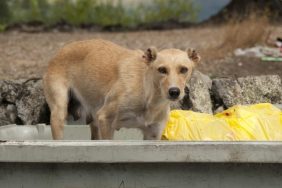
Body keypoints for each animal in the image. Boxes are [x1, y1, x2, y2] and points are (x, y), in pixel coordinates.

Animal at [43, 39, 199, 140]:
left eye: (184, 69)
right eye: (162, 70)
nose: (174, 92)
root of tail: (59, 52)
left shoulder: (153, 134)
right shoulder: (105, 120)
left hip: (94, 123)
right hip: (60, 113)